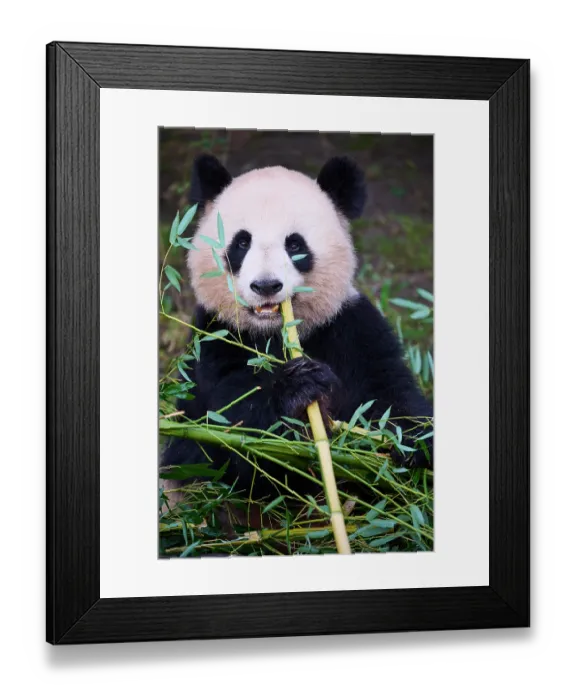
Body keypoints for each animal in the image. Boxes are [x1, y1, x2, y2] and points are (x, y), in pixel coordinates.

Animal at [161, 153, 433, 502]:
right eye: (242, 242)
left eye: (294, 245)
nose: (266, 285)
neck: (275, 333)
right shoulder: (216, 337)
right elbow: (229, 425)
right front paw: (299, 386)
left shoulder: (349, 326)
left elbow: (389, 395)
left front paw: (411, 444)